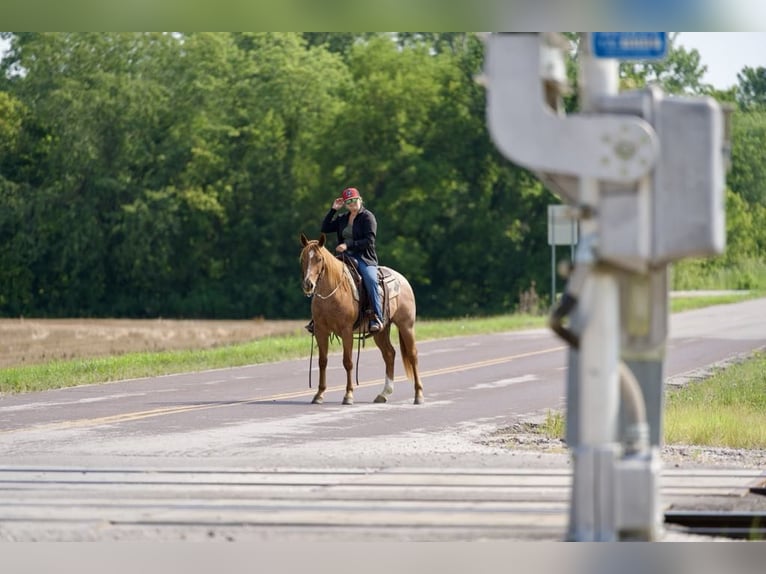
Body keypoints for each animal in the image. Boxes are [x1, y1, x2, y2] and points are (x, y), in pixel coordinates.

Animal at [299, 233, 424, 405]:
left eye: (319, 259)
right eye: (303, 258)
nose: (308, 285)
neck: (332, 293)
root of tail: (403, 279)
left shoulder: (346, 331)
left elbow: (348, 362)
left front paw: (348, 395)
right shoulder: (320, 331)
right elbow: (322, 361)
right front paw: (319, 394)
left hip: (406, 325)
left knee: (412, 355)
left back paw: (418, 395)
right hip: (381, 331)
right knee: (389, 354)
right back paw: (384, 394)